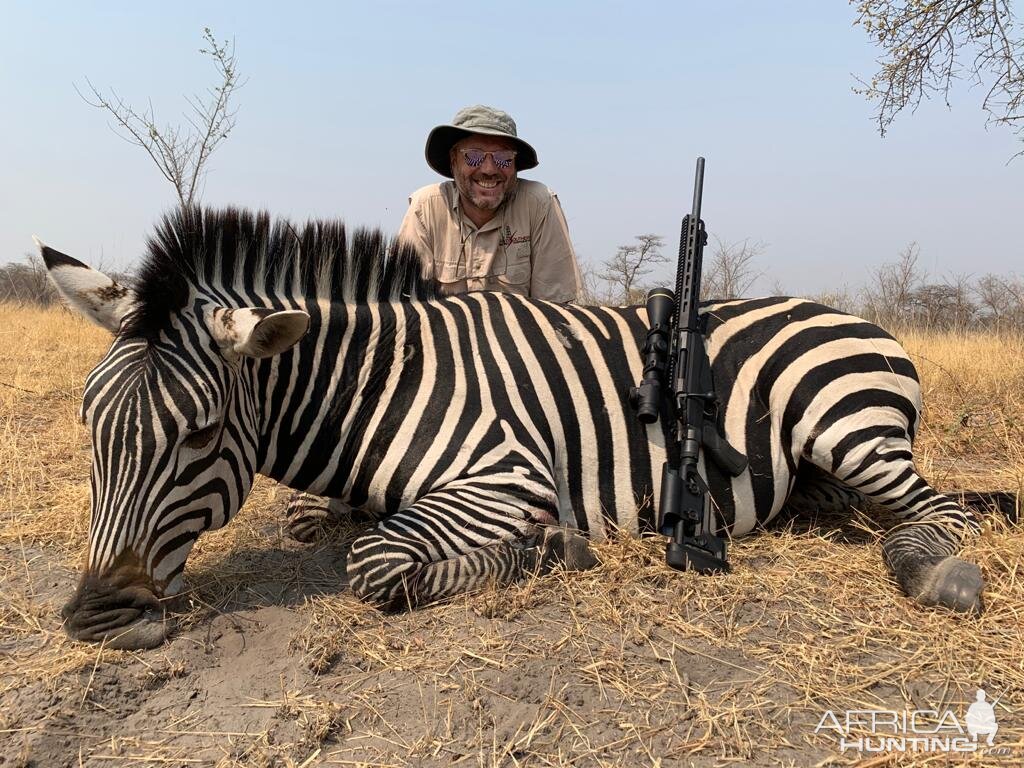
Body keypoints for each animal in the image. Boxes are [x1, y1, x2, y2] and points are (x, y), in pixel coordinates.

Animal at [44, 205, 987, 651]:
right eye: (89, 423)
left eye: (200, 436)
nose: (96, 619)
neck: (380, 384)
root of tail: (862, 319)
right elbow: (325, 521)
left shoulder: (507, 473)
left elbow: (376, 562)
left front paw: (548, 548)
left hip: (847, 427)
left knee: (941, 513)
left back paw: (936, 575)